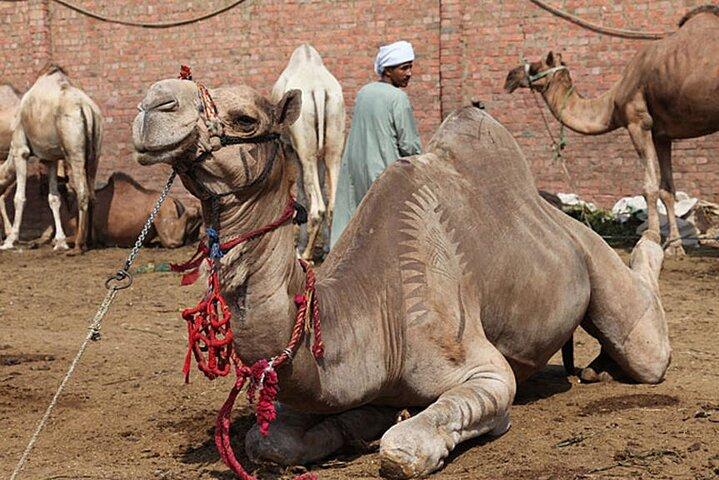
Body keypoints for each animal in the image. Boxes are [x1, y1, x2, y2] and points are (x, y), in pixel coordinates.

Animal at [0, 64, 102, 253]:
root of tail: (86, 108)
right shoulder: (51, 159)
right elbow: (54, 198)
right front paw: (60, 242)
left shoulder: (20, 149)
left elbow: (19, 198)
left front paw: (10, 240)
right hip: (95, 151)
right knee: (92, 194)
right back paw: (89, 242)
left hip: (74, 148)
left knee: (82, 192)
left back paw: (78, 245)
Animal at [132, 77, 670, 479]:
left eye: (245, 118)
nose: (154, 103)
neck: (378, 306)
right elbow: (271, 443)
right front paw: (360, 425)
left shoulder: (482, 366)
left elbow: (404, 448)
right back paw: (596, 366)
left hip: (592, 256)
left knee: (646, 347)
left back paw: (649, 245)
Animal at [272, 43, 345, 260]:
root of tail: (319, 90)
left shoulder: (291, 148)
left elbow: (301, 192)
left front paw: (300, 245)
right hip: (333, 148)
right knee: (331, 202)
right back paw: (331, 249)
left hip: (306, 152)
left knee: (318, 207)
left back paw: (304, 254)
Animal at [504, 5, 719, 257]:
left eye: (537, 66)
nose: (510, 76)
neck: (612, 103)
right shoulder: (662, 133)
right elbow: (667, 190)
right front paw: (674, 246)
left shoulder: (638, 121)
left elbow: (649, 188)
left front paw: (651, 239)